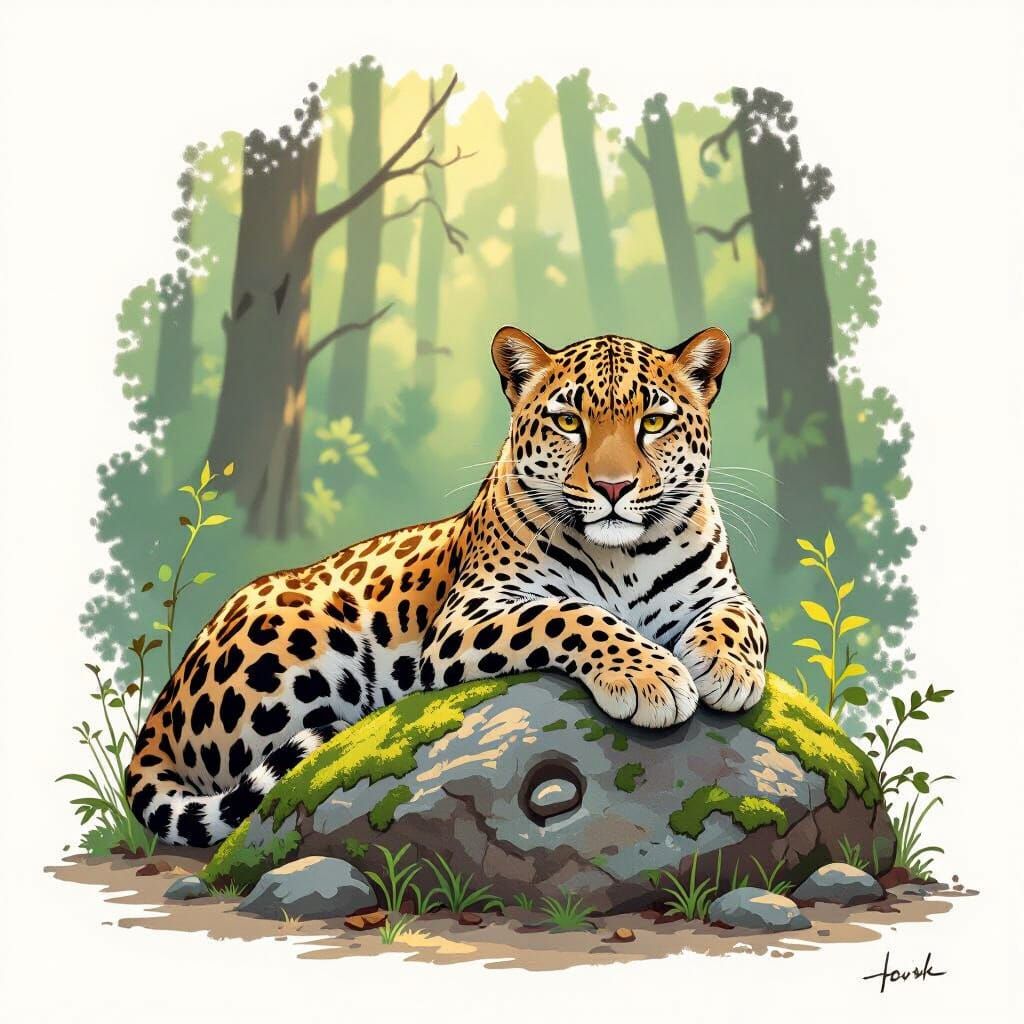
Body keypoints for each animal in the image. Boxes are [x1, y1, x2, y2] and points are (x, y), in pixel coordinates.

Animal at [126, 325, 768, 846]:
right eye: (568, 422)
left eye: (654, 422)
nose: (613, 487)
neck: (623, 558)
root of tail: (159, 712)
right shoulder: (470, 614)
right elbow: (568, 614)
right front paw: (650, 677)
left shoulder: (722, 593)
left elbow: (742, 621)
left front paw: (727, 669)